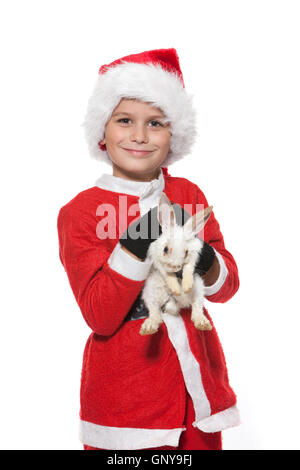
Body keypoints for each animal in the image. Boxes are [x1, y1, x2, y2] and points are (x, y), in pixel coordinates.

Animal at [140, 191, 213, 334]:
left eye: (186, 252)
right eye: (165, 249)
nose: (175, 266)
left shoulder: (193, 257)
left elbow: (188, 269)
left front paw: (186, 286)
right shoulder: (157, 260)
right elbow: (167, 275)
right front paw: (176, 289)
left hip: (199, 290)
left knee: (196, 308)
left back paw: (203, 323)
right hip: (150, 293)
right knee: (155, 312)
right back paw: (149, 327)